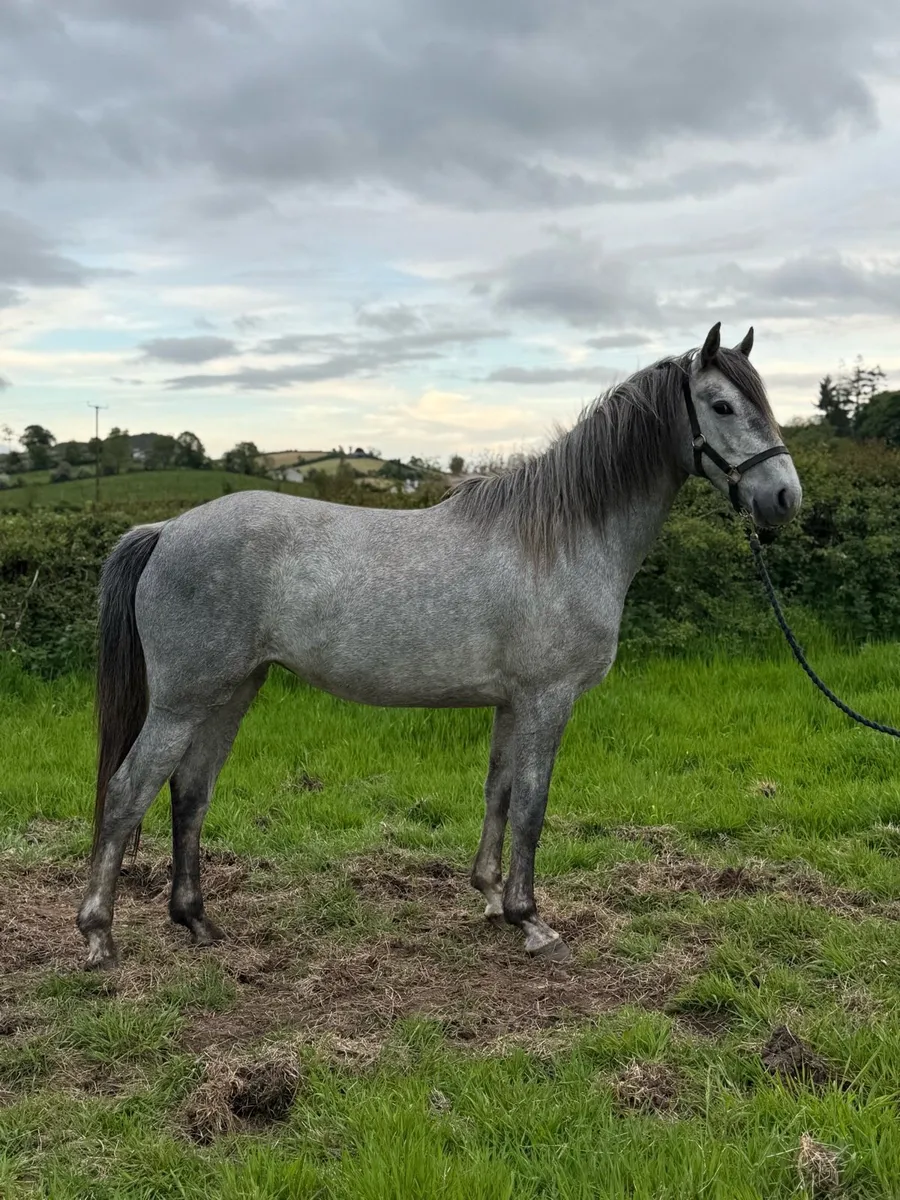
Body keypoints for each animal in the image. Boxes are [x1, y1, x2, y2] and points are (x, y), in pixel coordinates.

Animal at [77, 322, 802, 969]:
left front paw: (491, 898)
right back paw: (99, 938)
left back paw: (196, 921)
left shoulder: (512, 703)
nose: (783, 498)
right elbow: (532, 807)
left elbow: (498, 793)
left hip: (229, 694)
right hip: (181, 703)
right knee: (126, 794)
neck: (560, 538)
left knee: (189, 793)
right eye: (722, 405)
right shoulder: (548, 700)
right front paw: (532, 922)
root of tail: (167, 529)